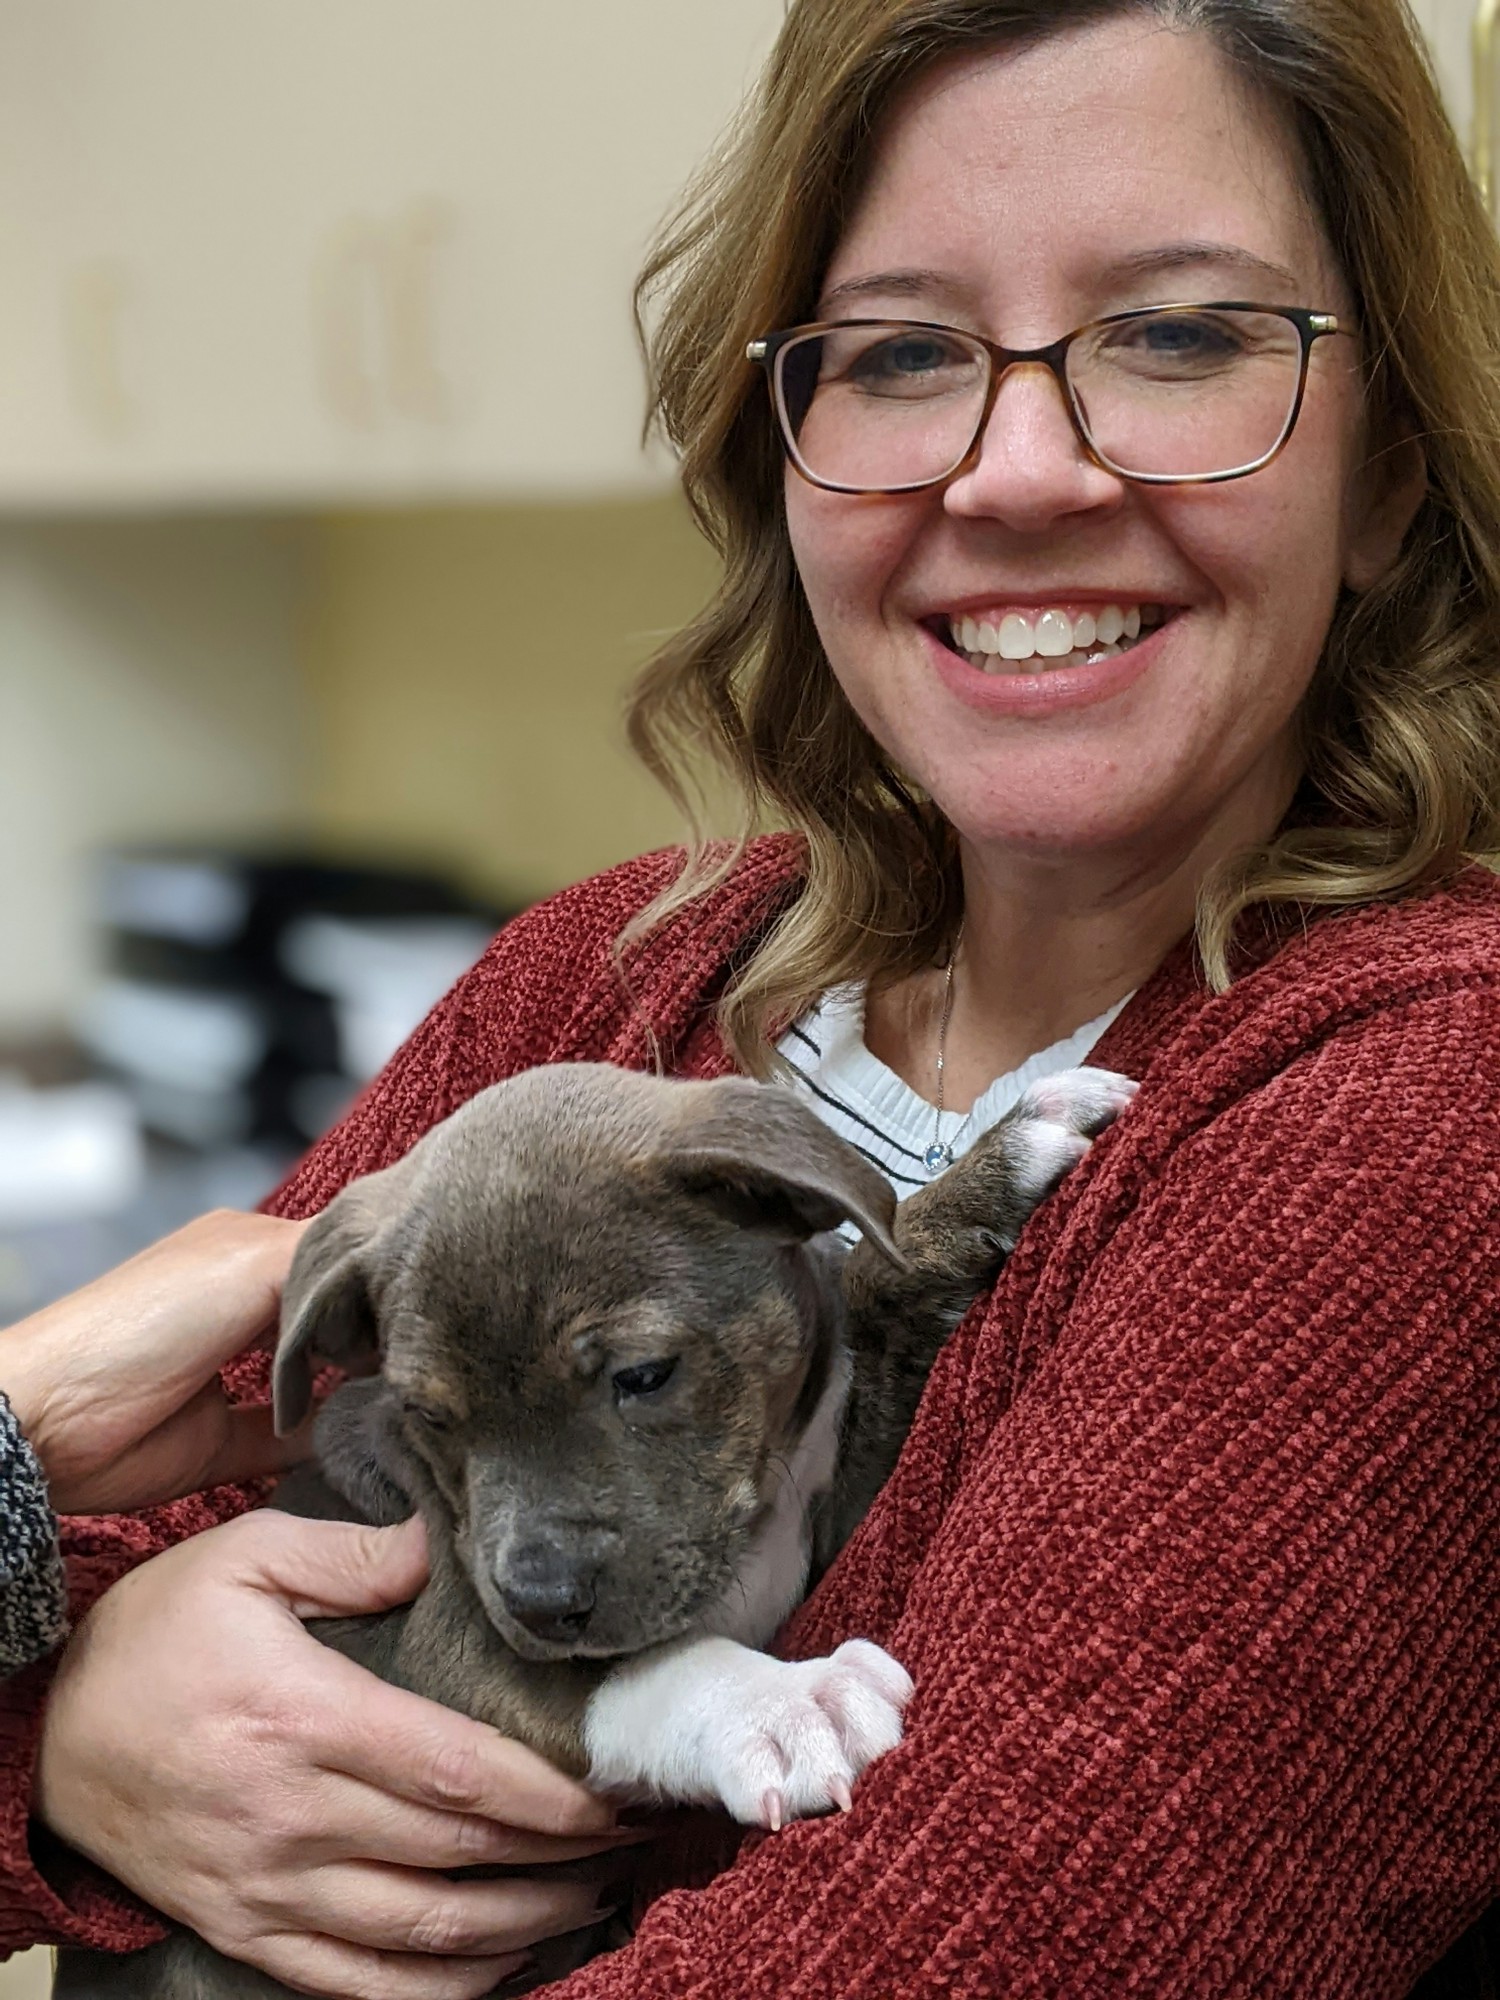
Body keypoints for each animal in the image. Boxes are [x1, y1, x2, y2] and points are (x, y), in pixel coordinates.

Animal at [55, 1056, 1136, 1992]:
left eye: (644, 1375)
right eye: (432, 1416)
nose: (543, 1599)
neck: (760, 1520)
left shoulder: (833, 1486)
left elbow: (875, 1280)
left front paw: (988, 1170)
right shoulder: (438, 1638)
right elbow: (641, 1667)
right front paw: (786, 1701)